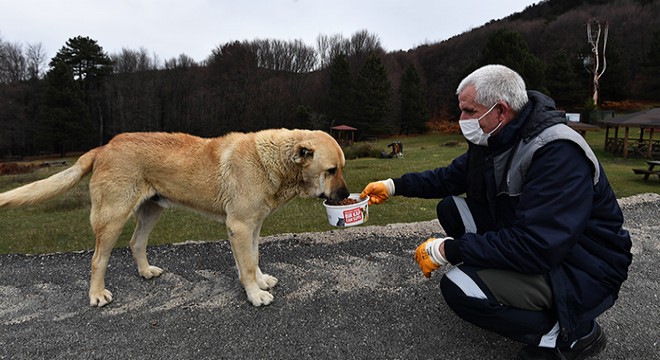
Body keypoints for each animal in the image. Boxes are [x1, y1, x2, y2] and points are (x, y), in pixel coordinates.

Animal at [0, 129, 350, 306]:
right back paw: (97, 295)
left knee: (136, 243)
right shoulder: (239, 225)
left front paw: (259, 281)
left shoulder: (252, 225)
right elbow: (248, 264)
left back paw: (145, 272)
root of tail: (103, 147)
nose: (346, 195)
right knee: (98, 258)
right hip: (112, 217)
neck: (273, 160)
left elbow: (253, 258)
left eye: (342, 168)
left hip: (151, 210)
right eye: (331, 170)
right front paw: (255, 294)